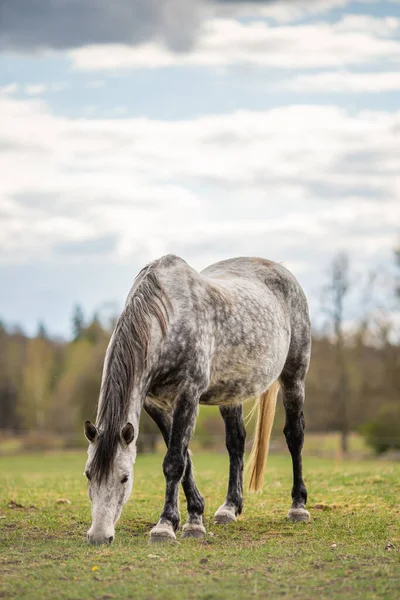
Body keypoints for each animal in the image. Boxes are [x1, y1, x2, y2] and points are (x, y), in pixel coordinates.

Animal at [83, 255, 310, 548]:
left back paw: (298, 506)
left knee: (295, 435)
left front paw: (166, 526)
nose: (99, 536)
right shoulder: (155, 404)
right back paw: (229, 508)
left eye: (125, 478)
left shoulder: (188, 394)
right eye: (88, 474)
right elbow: (184, 457)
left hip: (294, 376)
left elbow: (174, 462)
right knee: (236, 442)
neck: (168, 318)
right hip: (231, 392)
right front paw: (194, 514)